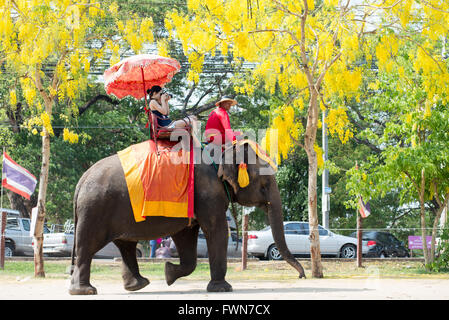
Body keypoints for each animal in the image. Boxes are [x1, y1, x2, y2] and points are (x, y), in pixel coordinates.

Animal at [68, 141, 304, 296]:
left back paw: (138, 285)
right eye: (264, 184)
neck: (221, 150)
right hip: (95, 209)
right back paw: (85, 291)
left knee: (126, 245)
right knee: (88, 246)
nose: (302, 276)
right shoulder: (208, 192)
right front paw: (222, 289)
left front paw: (168, 274)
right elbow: (216, 230)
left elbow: (186, 236)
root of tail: (80, 181)